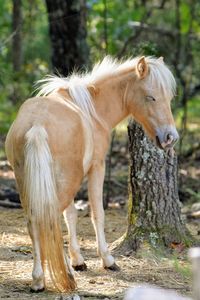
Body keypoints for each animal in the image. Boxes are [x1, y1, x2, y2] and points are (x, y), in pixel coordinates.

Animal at [5, 55, 179, 292]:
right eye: (150, 97)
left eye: (168, 97)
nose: (171, 137)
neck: (93, 111)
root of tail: (36, 126)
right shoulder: (97, 168)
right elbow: (97, 214)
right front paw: (107, 260)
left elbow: (71, 216)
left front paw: (78, 260)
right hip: (62, 183)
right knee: (48, 222)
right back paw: (62, 276)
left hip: (30, 183)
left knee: (35, 222)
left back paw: (39, 279)